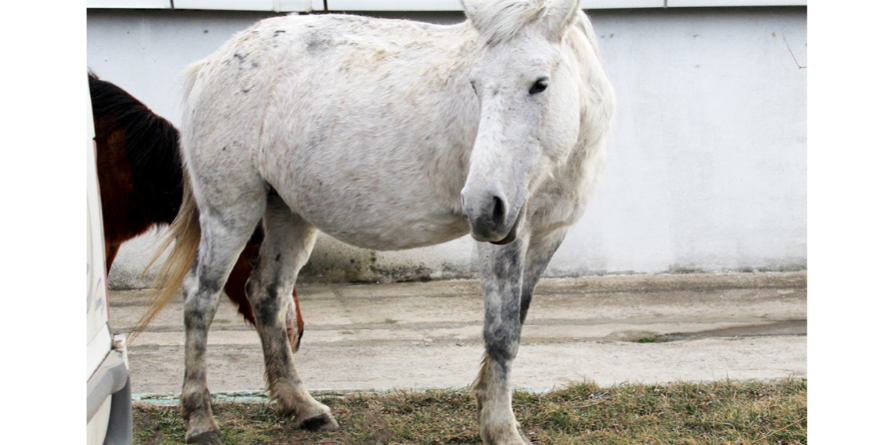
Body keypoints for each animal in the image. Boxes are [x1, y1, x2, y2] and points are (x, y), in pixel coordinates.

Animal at [146, 1, 616, 442]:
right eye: (475, 85)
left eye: (540, 84)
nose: (484, 206)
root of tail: (216, 60)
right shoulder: (507, 238)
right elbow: (501, 332)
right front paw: (502, 430)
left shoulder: (546, 235)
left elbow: (516, 321)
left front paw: (487, 408)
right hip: (230, 212)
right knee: (200, 299)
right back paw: (201, 420)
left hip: (288, 213)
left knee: (267, 294)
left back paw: (303, 407)